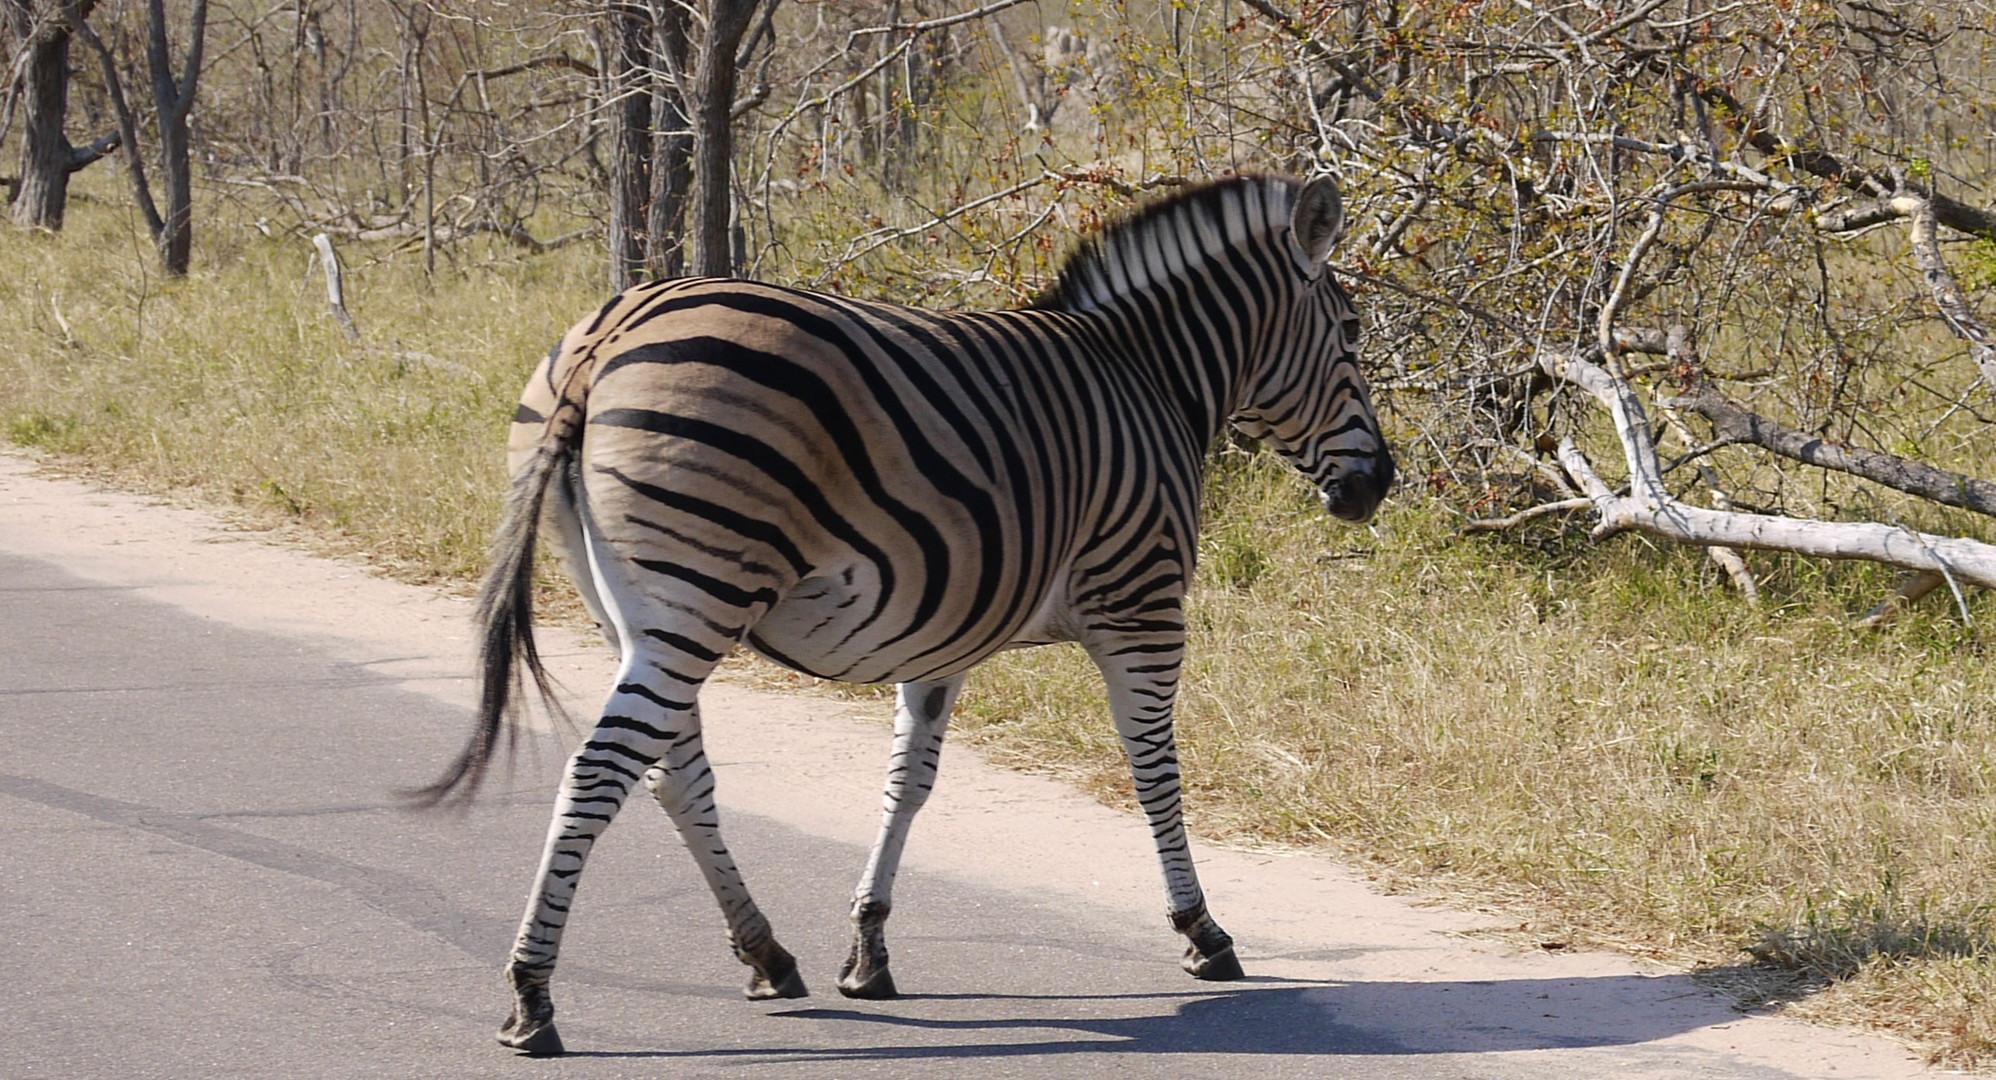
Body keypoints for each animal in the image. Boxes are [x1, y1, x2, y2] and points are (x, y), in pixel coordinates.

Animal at [417, 174, 1389, 1054]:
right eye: (1349, 333)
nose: (1377, 486)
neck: (1147, 376)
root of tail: (606, 334)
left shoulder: (946, 627)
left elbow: (906, 782)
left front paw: (867, 946)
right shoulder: (1140, 602)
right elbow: (1156, 774)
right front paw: (1201, 931)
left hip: (639, 608)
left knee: (672, 773)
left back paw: (767, 953)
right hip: (700, 596)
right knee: (601, 770)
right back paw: (532, 994)